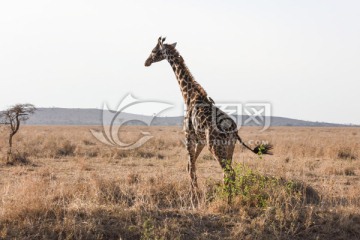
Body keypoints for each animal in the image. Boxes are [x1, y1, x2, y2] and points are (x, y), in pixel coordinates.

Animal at [145, 36, 272, 201]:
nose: (146, 62)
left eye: (154, 50)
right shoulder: (200, 141)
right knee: (228, 172)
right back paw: (229, 195)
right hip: (229, 147)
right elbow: (190, 165)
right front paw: (195, 193)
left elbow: (191, 167)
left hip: (216, 147)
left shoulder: (188, 136)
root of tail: (233, 130)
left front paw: (194, 196)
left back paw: (227, 198)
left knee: (229, 172)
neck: (189, 96)